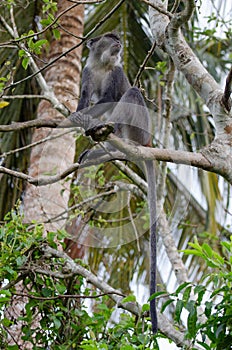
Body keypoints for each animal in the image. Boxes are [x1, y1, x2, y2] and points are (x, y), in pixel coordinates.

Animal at [69, 32, 158, 334]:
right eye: (110, 38)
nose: (119, 42)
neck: (101, 65)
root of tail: (147, 142)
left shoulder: (116, 74)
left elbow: (109, 98)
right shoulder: (87, 73)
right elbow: (86, 98)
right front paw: (77, 115)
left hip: (138, 128)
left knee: (131, 96)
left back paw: (109, 138)